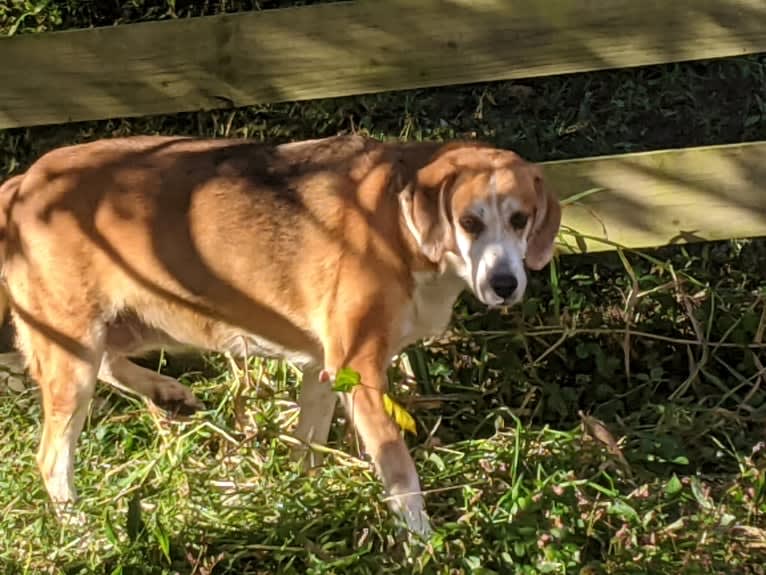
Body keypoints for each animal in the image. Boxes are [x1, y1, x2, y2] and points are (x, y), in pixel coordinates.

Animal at [0, 134, 560, 536]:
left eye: (520, 219)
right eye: (469, 222)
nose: (505, 285)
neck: (397, 226)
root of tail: (26, 181)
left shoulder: (325, 372)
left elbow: (308, 445)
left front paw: (303, 498)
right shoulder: (359, 370)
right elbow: (400, 472)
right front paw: (422, 540)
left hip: (124, 327)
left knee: (114, 364)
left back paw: (168, 392)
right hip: (73, 348)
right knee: (52, 458)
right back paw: (81, 529)